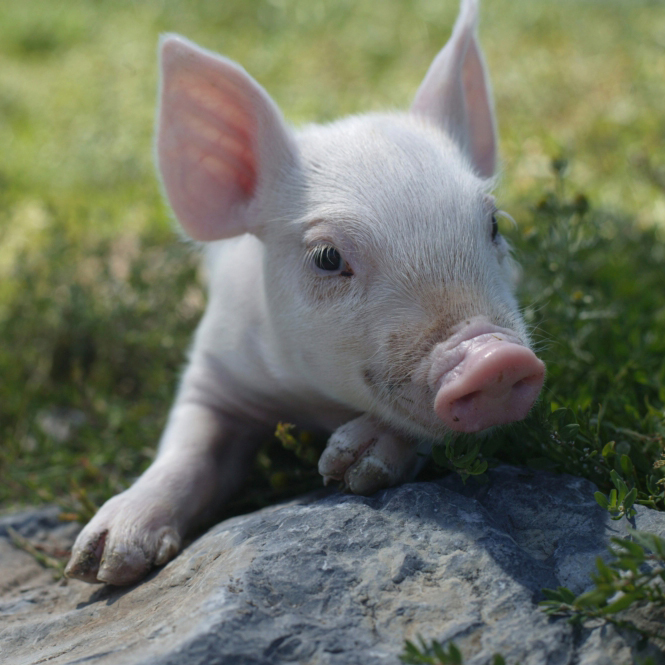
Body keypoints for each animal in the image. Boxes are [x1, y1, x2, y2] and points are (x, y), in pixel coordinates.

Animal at [65, 0, 545, 586]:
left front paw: (346, 470)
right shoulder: (211, 368)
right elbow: (187, 446)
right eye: (327, 257)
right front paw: (100, 565)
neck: (312, 401)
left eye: (493, 225)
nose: (494, 358)